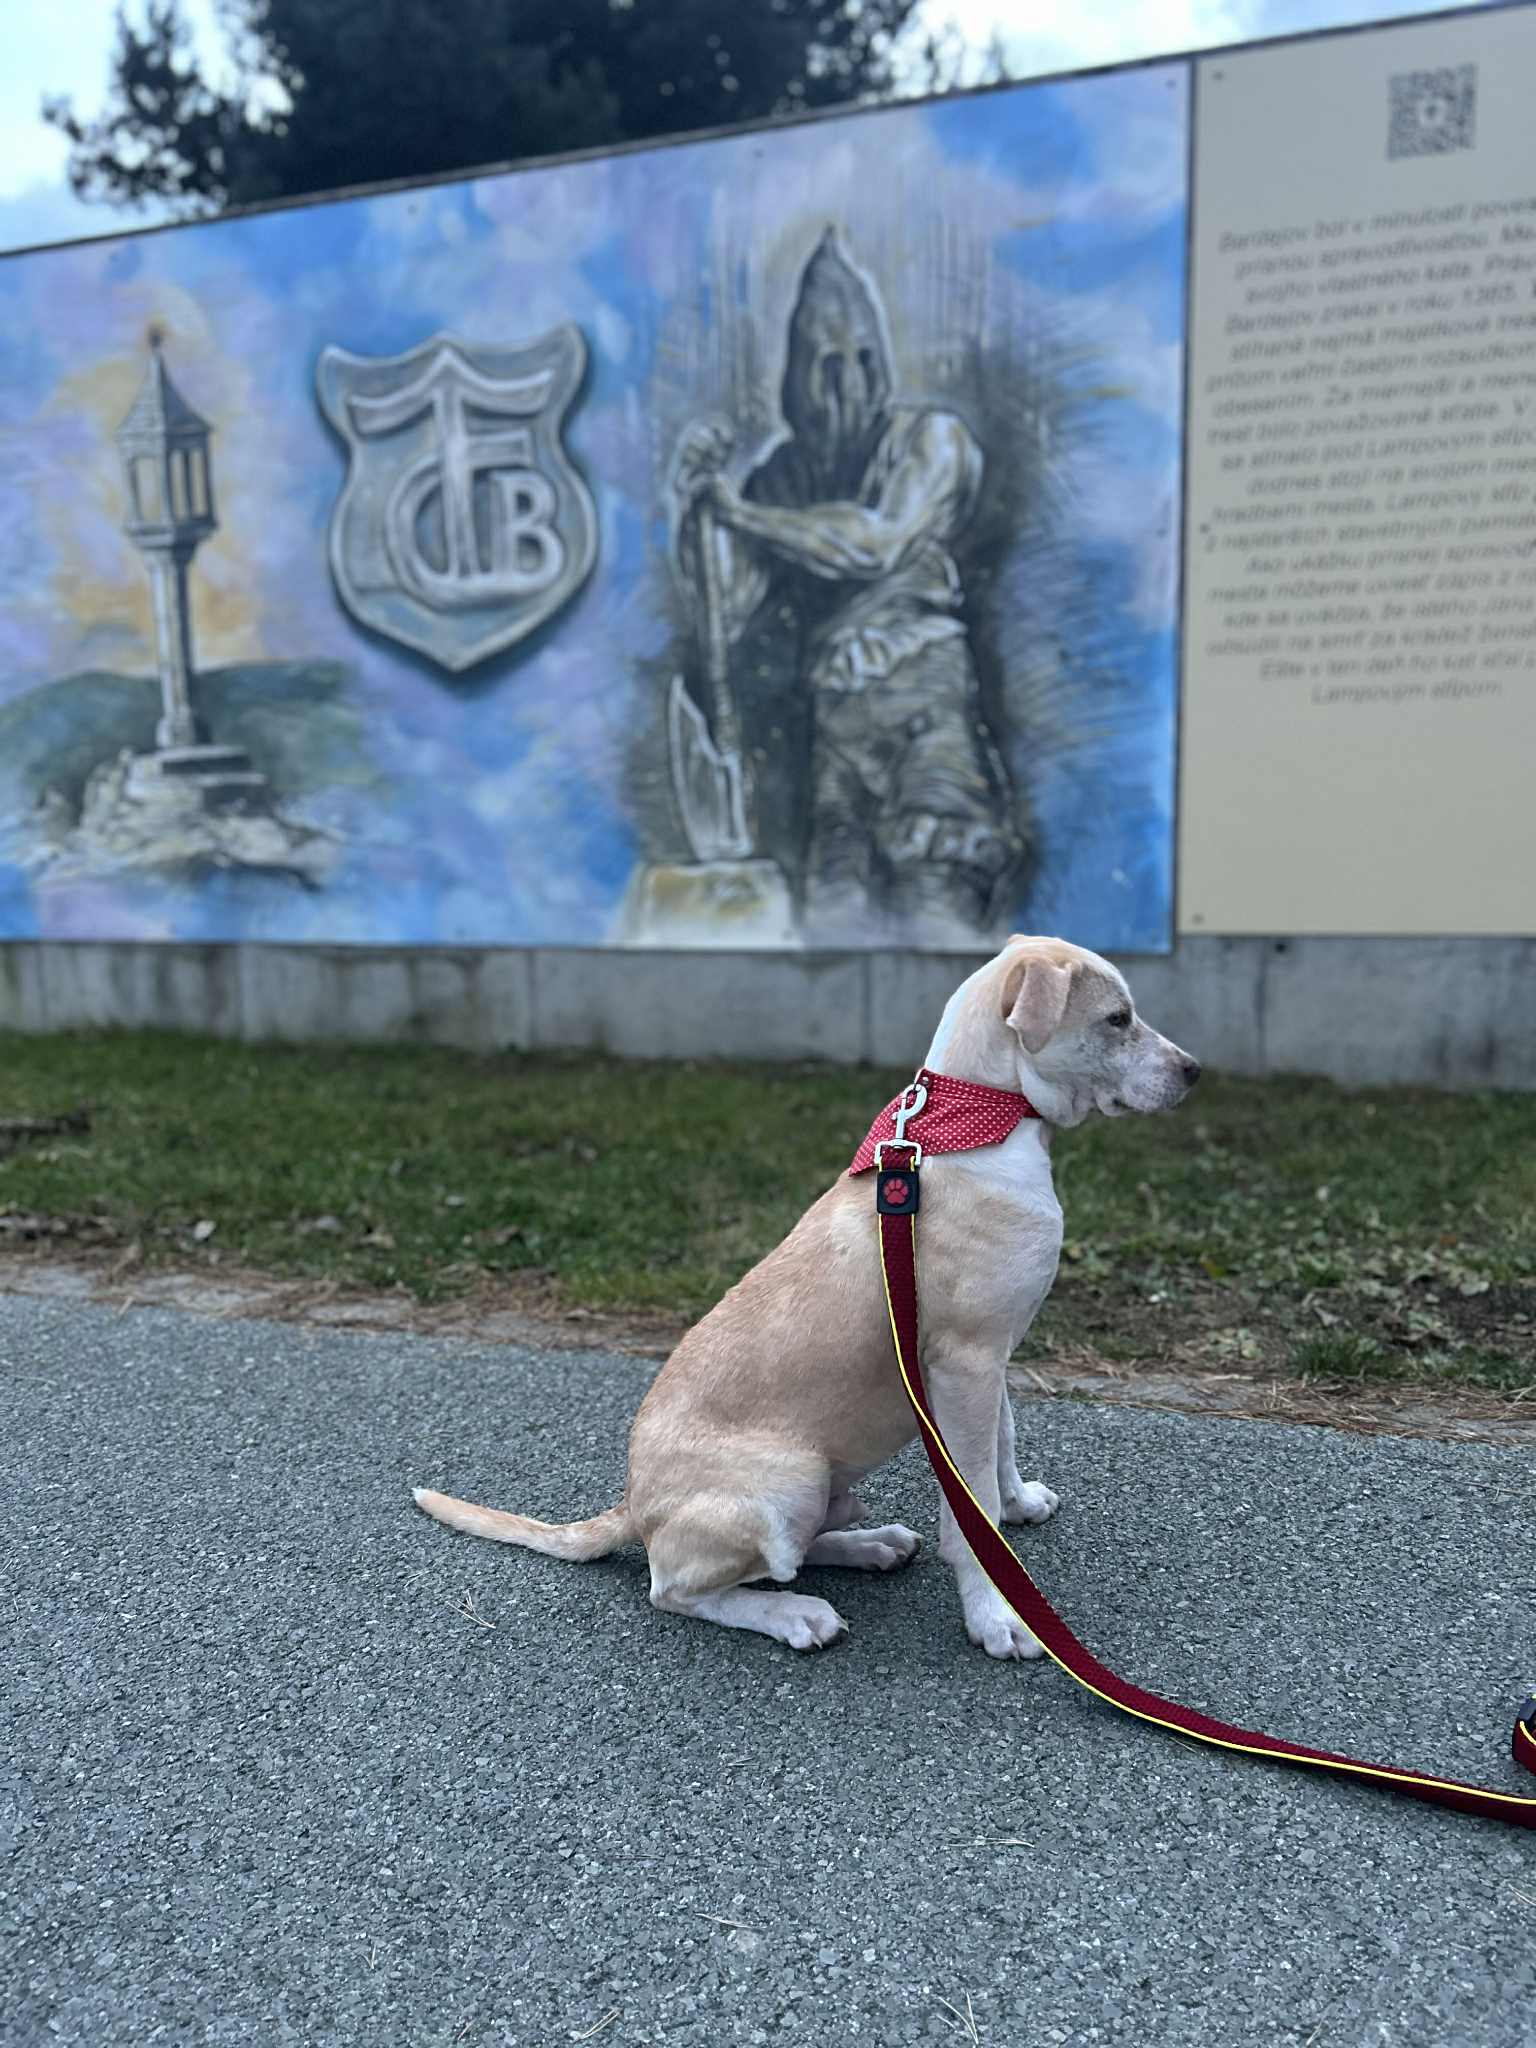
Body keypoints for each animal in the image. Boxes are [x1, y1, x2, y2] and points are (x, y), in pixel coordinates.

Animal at [414, 936, 1199, 1657]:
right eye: (1118, 1018)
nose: (1194, 1072)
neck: (984, 1123)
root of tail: (633, 1506)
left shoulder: (988, 1359)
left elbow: (1001, 1447)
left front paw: (1018, 1502)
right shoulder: (967, 1363)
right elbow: (970, 1517)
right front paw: (998, 1613)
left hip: (822, 1482)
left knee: (793, 1548)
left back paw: (871, 1545)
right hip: (787, 1479)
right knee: (680, 1587)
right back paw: (795, 1614)